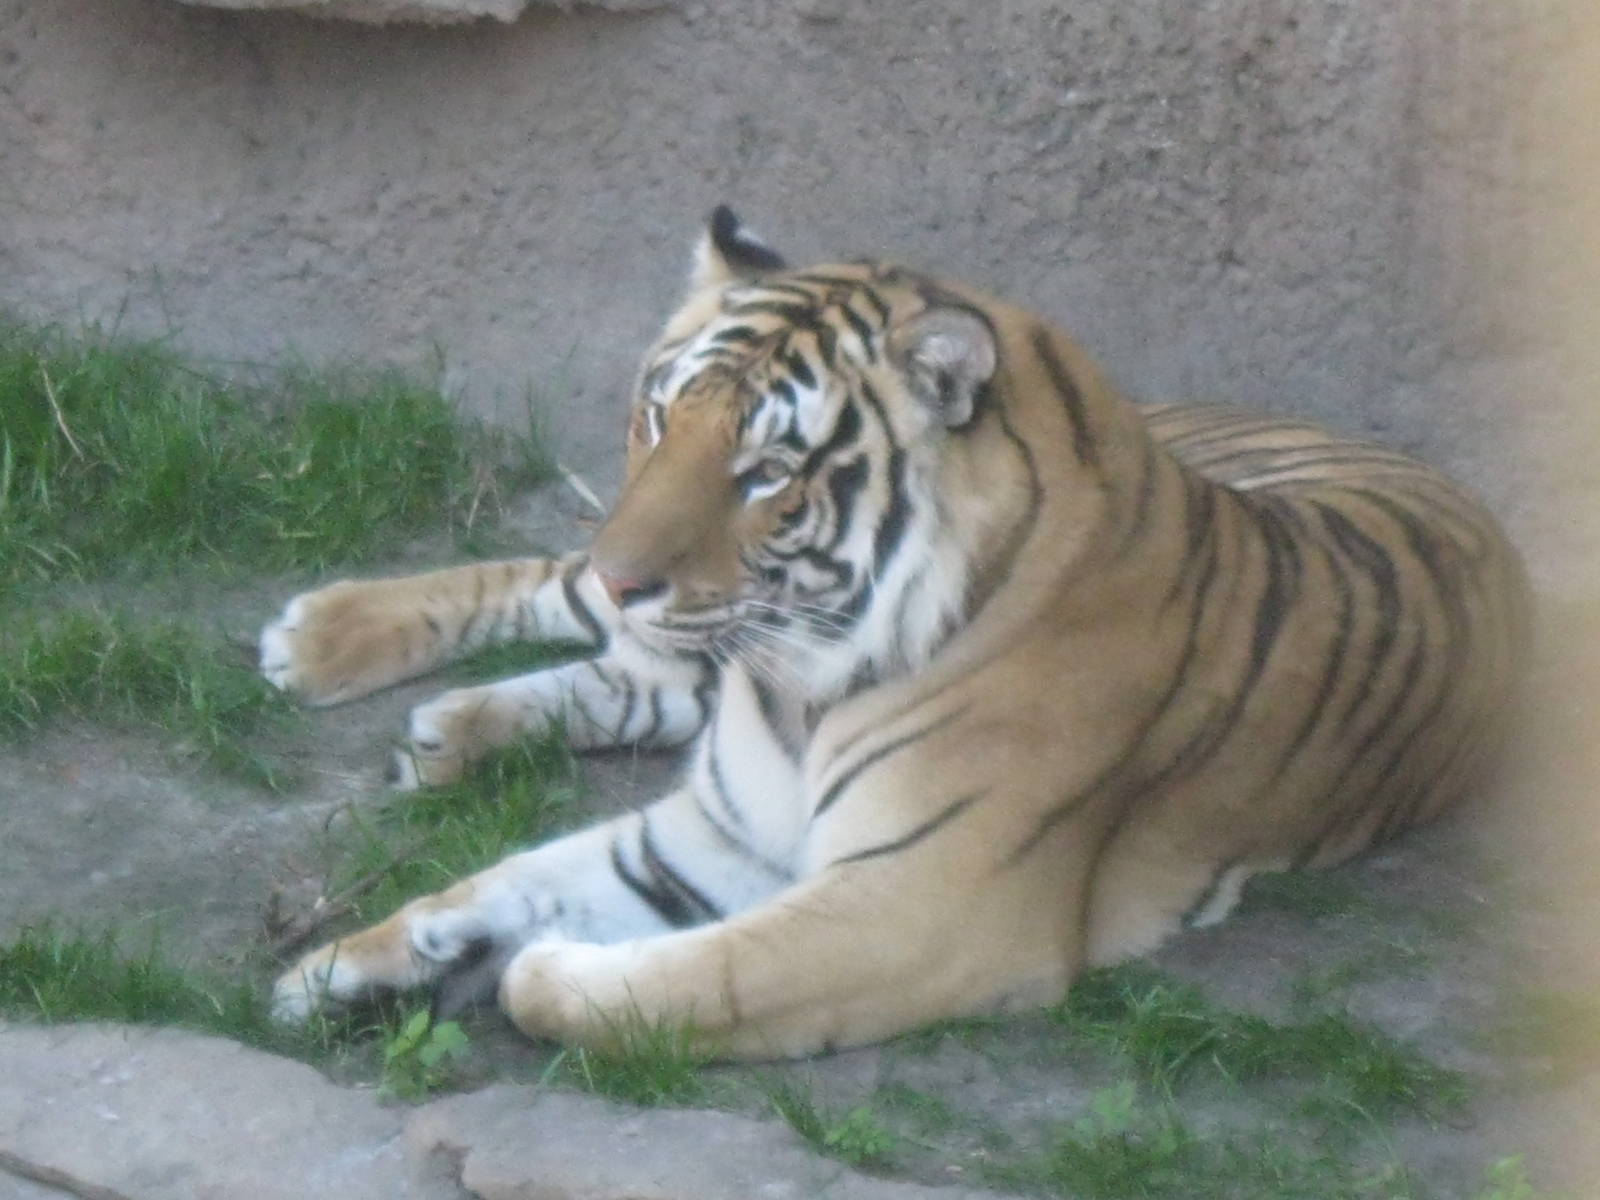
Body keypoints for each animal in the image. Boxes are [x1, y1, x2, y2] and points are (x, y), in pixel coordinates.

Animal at [263, 206, 1530, 1060]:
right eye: (659, 419)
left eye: (765, 474)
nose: (633, 578)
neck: (798, 678)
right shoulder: (717, 826)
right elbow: (494, 879)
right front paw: (340, 966)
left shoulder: (922, 906)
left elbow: (688, 978)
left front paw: (527, 971)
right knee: (563, 594)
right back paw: (321, 640)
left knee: (627, 676)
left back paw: (445, 728)